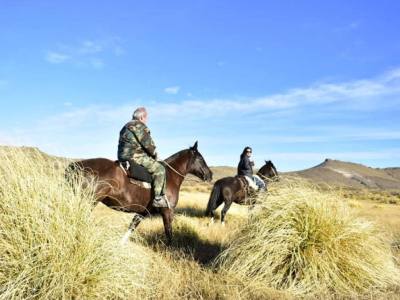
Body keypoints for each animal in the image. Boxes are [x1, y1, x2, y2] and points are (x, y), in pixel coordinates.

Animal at [68, 142, 212, 243]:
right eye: (201, 159)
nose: (210, 175)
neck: (170, 177)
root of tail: (76, 166)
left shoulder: (143, 212)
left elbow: (132, 227)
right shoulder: (167, 211)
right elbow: (169, 233)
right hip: (88, 201)